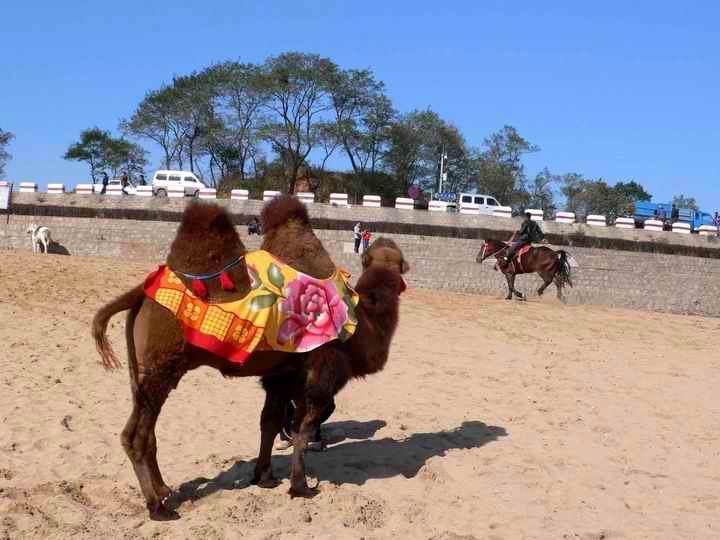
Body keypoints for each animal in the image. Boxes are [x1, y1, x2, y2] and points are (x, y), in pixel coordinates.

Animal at [91, 196, 410, 520]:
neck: (360, 324)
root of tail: (141, 292)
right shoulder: (322, 369)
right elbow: (304, 427)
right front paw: (301, 486)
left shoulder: (281, 374)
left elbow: (269, 421)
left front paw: (264, 477)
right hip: (162, 366)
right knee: (137, 436)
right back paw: (158, 506)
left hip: (142, 371)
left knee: (143, 430)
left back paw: (164, 489)